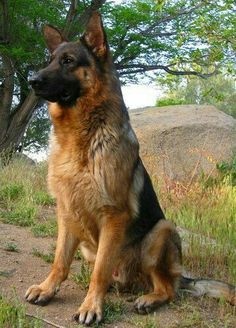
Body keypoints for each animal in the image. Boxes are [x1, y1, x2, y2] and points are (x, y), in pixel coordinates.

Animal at [25, 12, 234, 326]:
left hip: (162, 230)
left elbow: (99, 272)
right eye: (50, 60)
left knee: (168, 288)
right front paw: (47, 289)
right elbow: (60, 260)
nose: (31, 81)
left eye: (68, 61)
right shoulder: (66, 211)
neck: (81, 136)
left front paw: (91, 306)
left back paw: (149, 299)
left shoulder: (113, 215)